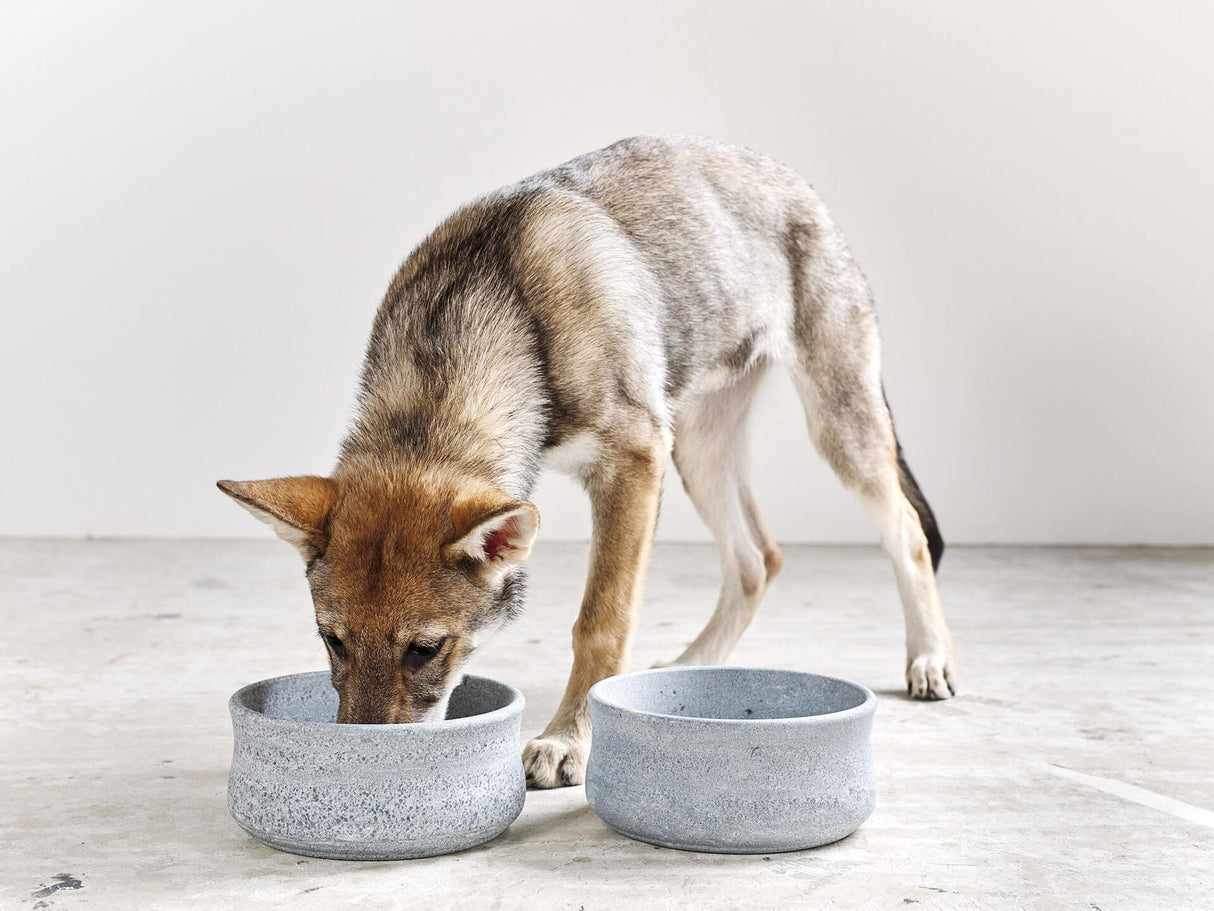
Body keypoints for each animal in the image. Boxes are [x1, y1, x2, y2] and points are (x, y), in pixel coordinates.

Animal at [218, 135, 956, 791]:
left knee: (904, 531)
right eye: (333, 641)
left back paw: (929, 657)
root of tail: (796, 182)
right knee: (757, 560)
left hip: (835, 429)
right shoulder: (647, 460)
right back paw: (688, 669)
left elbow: (600, 623)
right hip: (697, 449)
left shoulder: (631, 465)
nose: (360, 760)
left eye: (425, 648)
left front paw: (568, 740)